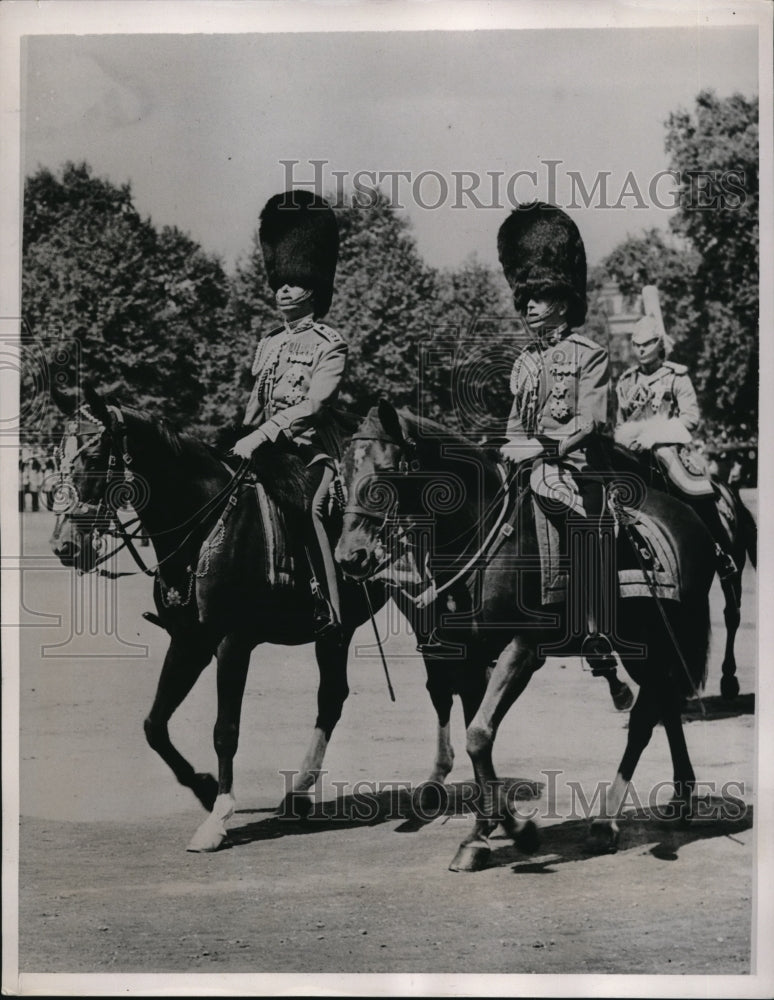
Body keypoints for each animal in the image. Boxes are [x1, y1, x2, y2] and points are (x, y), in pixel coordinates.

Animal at [50, 388, 492, 852]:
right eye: (57, 455)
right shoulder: (189, 639)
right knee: (334, 697)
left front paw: (218, 816)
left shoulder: (232, 641)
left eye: (94, 454)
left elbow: (225, 729)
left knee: (441, 684)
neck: (207, 522)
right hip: (338, 631)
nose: (64, 546)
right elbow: (154, 724)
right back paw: (300, 792)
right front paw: (205, 787)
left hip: (424, 604)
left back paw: (435, 782)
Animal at [336, 402, 720, 872]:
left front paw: (516, 830)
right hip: (642, 646)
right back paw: (680, 799)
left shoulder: (523, 649)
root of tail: (687, 515)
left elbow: (479, 734)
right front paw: (482, 835)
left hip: (655, 642)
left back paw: (607, 822)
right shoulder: (470, 657)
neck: (485, 537)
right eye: (344, 471)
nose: (349, 557)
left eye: (388, 471)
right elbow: (477, 736)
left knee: (644, 721)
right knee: (663, 705)